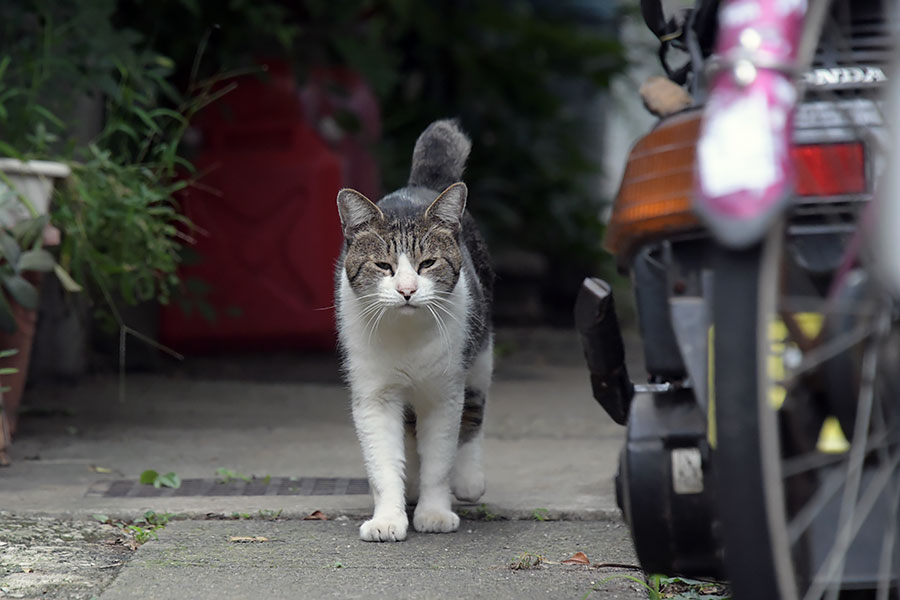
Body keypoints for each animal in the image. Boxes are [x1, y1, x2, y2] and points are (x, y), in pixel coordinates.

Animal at [336, 119, 496, 540]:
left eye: (427, 263)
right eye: (383, 265)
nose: (407, 290)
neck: (406, 337)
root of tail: (419, 185)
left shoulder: (443, 394)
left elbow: (440, 459)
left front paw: (435, 512)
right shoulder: (374, 395)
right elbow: (383, 464)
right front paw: (388, 518)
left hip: (480, 352)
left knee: (475, 410)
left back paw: (469, 479)